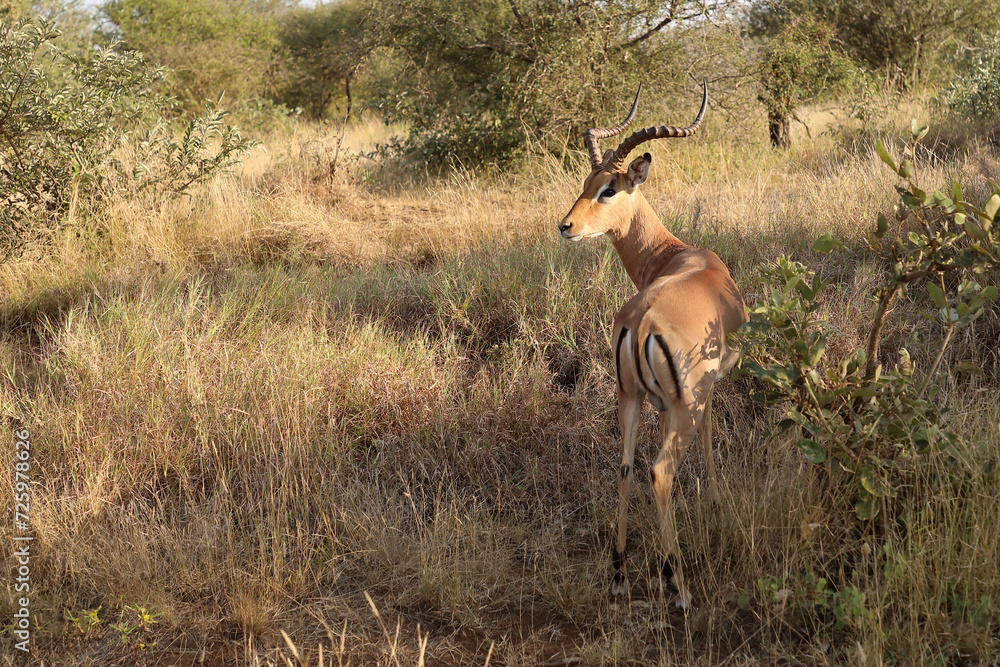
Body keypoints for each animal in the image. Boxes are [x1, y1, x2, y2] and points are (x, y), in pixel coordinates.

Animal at [558, 82, 746, 608]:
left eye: (606, 186)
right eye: (590, 181)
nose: (566, 226)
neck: (682, 258)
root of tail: (640, 321)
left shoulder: (659, 404)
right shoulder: (706, 393)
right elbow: (710, 440)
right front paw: (717, 501)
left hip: (628, 397)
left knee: (625, 468)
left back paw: (620, 575)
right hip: (682, 406)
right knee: (660, 471)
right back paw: (676, 583)